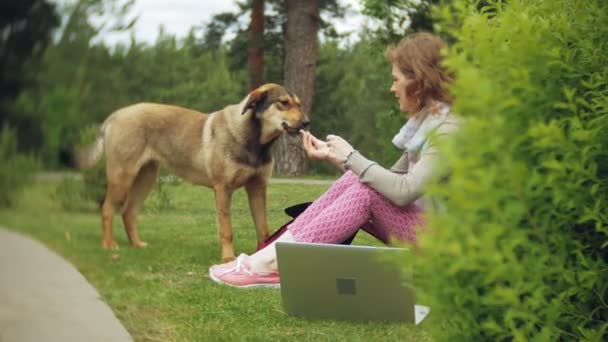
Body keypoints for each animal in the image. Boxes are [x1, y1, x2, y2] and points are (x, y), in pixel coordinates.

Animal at [75, 84, 308, 260]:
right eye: (283, 103)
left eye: (299, 104)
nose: (307, 122)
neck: (254, 141)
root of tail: (115, 115)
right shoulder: (223, 189)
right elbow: (226, 229)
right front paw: (228, 258)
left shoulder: (258, 189)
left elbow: (263, 229)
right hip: (122, 175)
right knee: (107, 209)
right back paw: (109, 245)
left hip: (146, 178)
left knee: (128, 212)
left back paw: (137, 244)